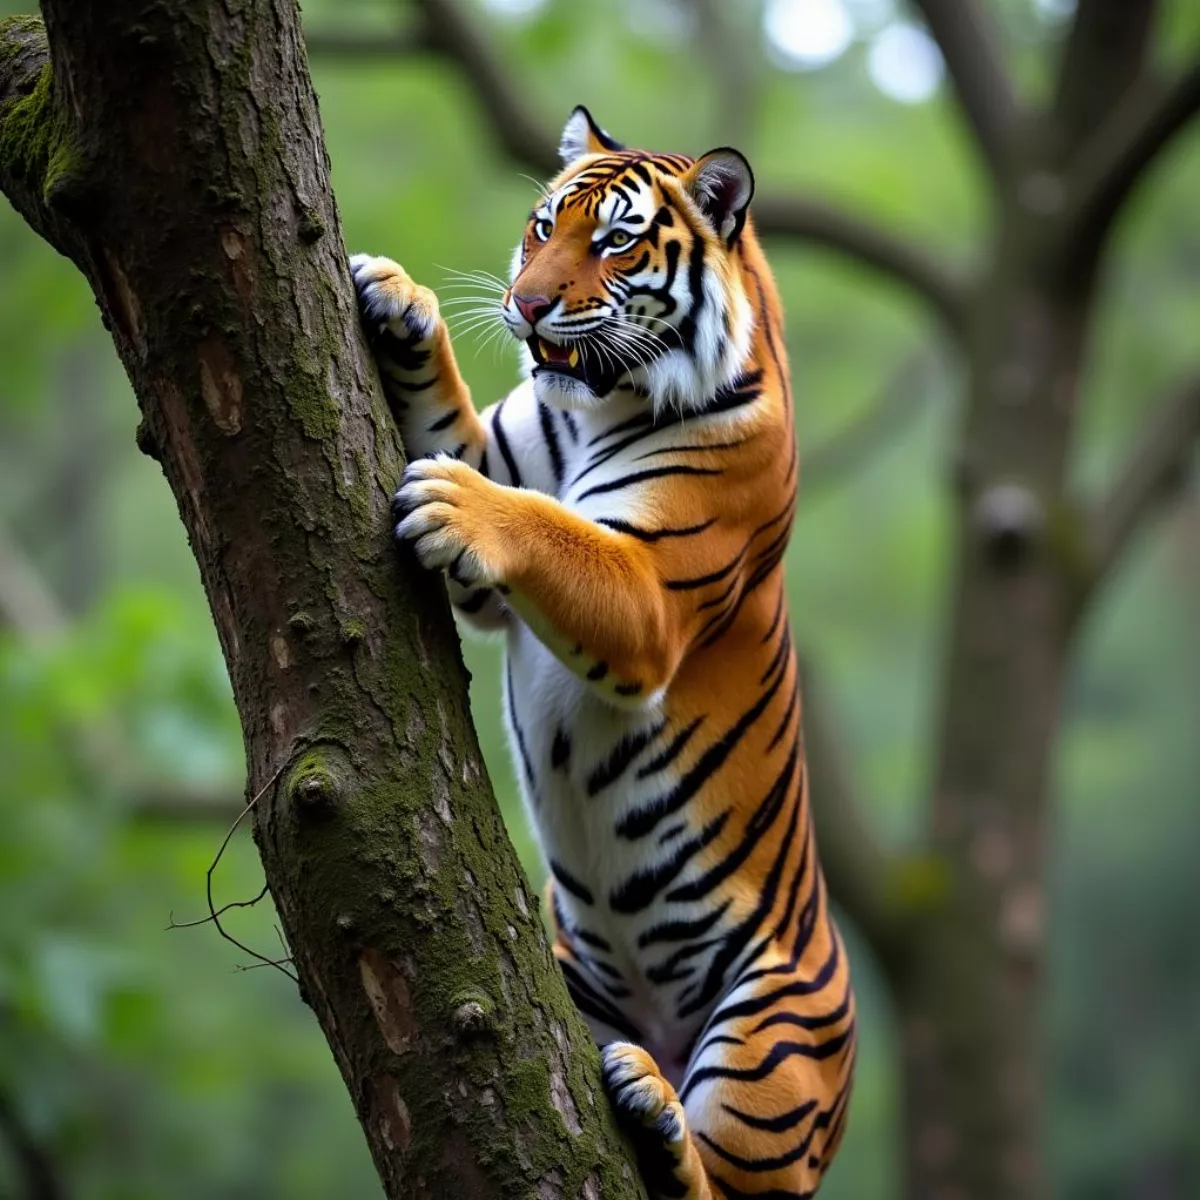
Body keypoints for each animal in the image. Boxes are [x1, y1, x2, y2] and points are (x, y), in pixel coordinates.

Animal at [350, 105, 859, 1200]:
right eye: (544, 227)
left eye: (617, 243)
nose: (526, 305)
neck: (601, 401)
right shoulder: (502, 471)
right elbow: (462, 437)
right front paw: (398, 301)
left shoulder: (648, 593)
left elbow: (554, 529)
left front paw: (457, 501)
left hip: (768, 1038)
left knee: (730, 1185)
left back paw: (659, 1119)